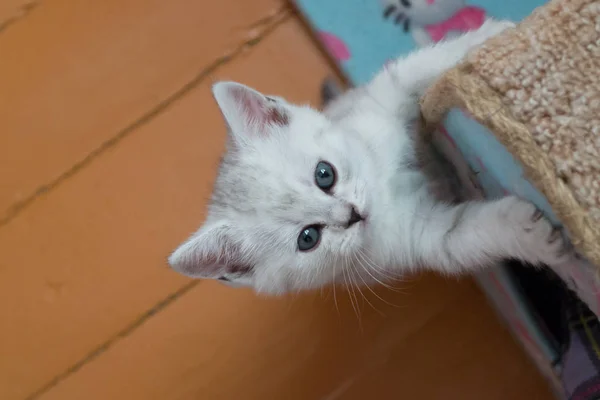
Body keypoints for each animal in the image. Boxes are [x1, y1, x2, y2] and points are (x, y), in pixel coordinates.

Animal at [168, 20, 572, 296]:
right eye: (308, 238)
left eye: (325, 174)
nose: (351, 215)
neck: (381, 185)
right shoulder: (424, 239)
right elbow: (471, 233)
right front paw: (533, 236)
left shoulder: (380, 101)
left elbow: (417, 68)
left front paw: (487, 42)